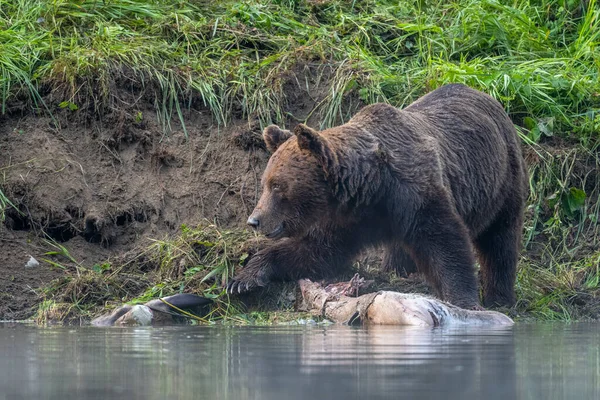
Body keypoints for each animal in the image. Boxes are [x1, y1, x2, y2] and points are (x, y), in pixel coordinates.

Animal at [227, 83, 528, 310]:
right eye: (265, 183)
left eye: (277, 186)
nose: (254, 220)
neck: (371, 188)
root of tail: (487, 96)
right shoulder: (347, 219)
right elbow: (315, 251)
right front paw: (243, 278)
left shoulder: (414, 193)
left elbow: (446, 242)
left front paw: (464, 300)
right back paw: (398, 270)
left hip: (503, 178)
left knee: (500, 239)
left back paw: (500, 297)